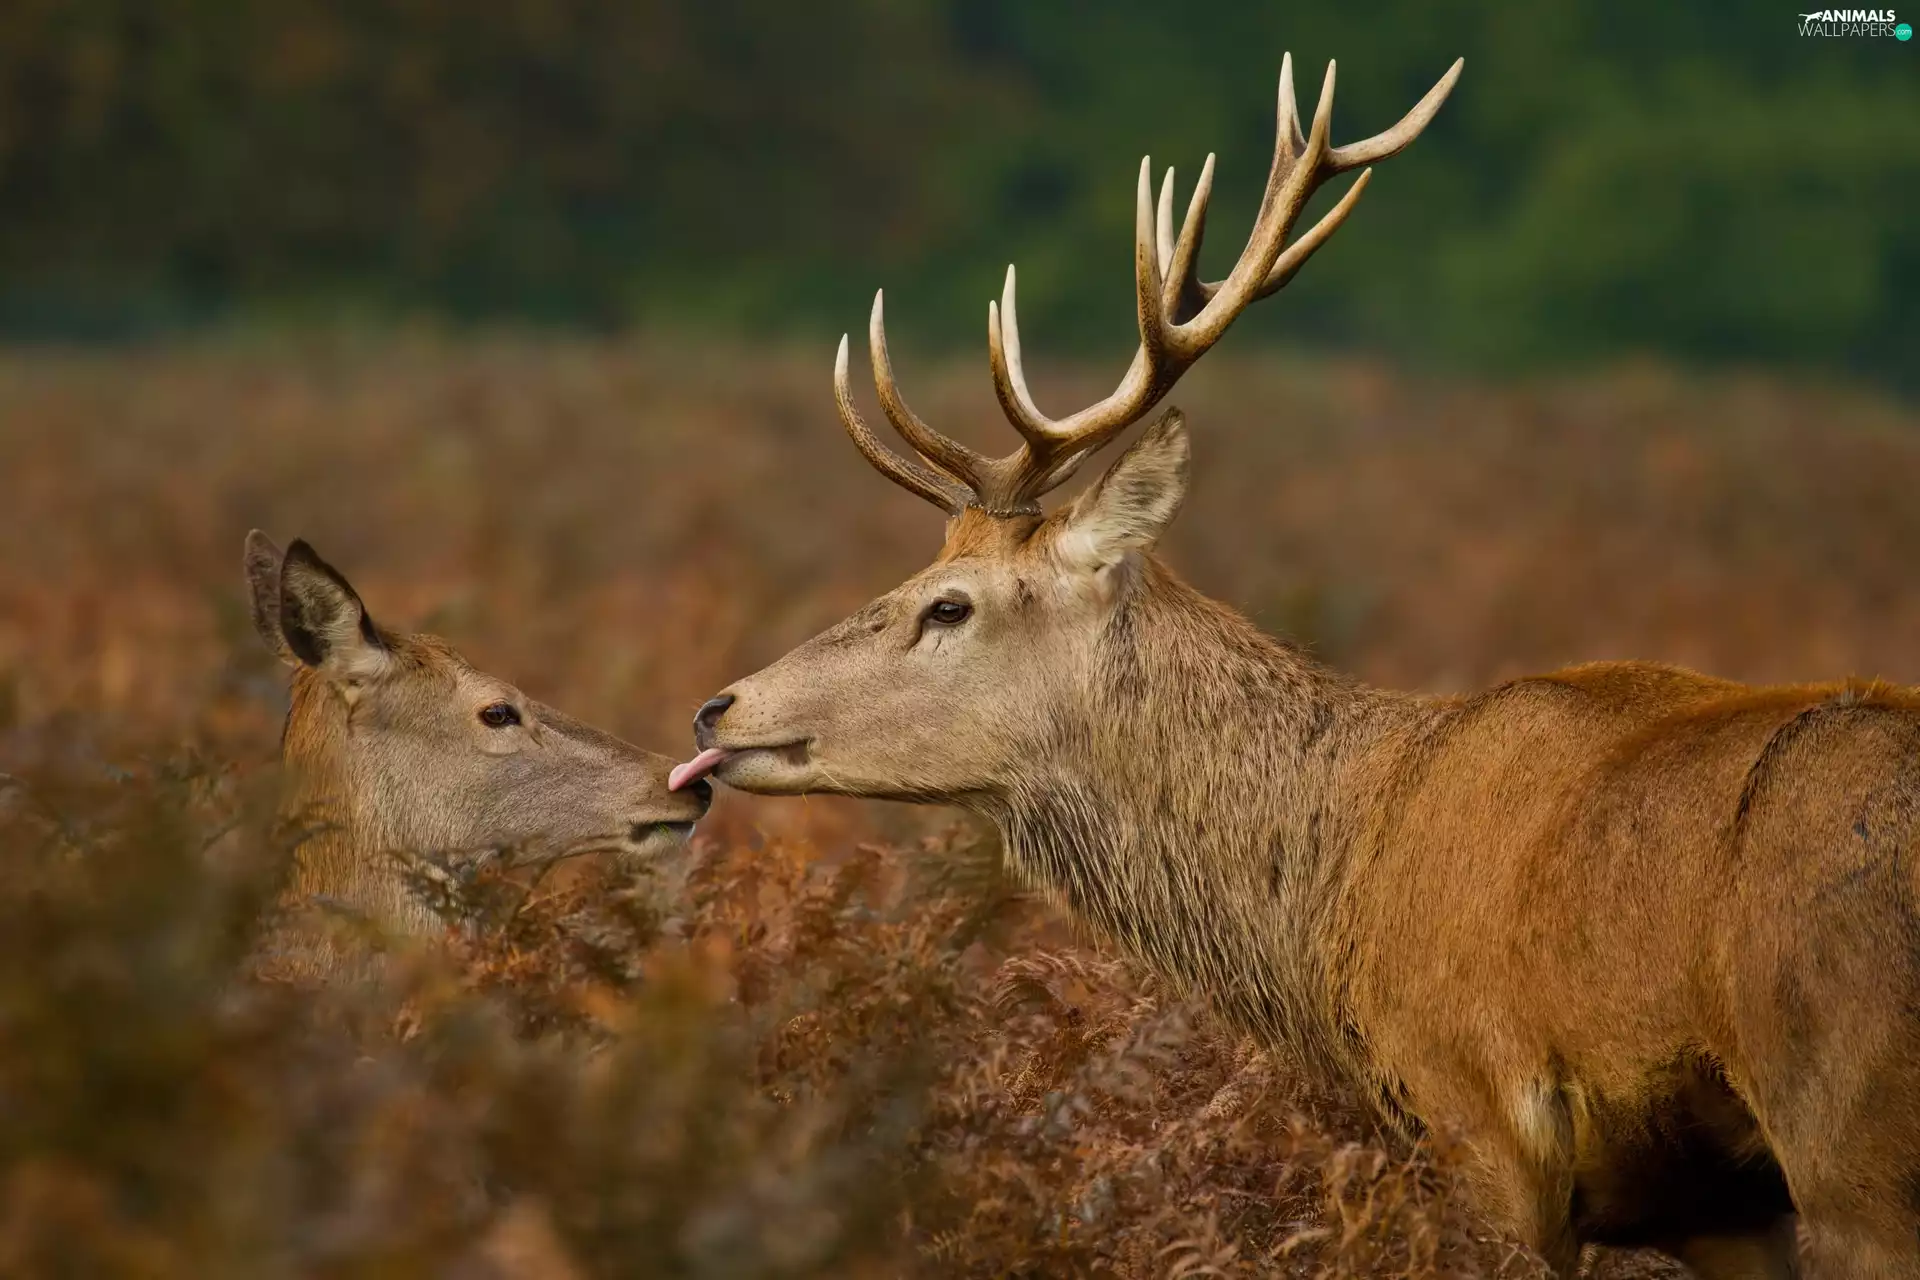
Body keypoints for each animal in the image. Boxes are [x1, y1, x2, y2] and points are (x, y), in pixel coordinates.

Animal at [668, 52, 1920, 1280]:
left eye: (949, 604)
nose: (716, 707)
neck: (1337, 890)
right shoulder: (1718, 1208)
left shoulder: (1481, 1121)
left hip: (1852, 1126)